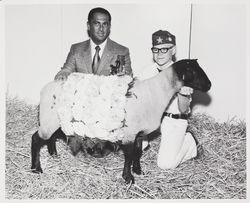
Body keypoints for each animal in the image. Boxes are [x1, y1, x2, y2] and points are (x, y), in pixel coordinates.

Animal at [30, 59, 211, 184]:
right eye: (195, 72)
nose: (209, 85)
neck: (157, 92)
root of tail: (44, 89)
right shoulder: (129, 133)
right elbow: (129, 155)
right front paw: (128, 178)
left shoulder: (138, 133)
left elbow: (137, 153)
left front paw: (138, 171)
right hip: (49, 120)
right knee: (36, 139)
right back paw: (36, 168)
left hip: (55, 120)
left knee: (51, 137)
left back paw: (53, 154)